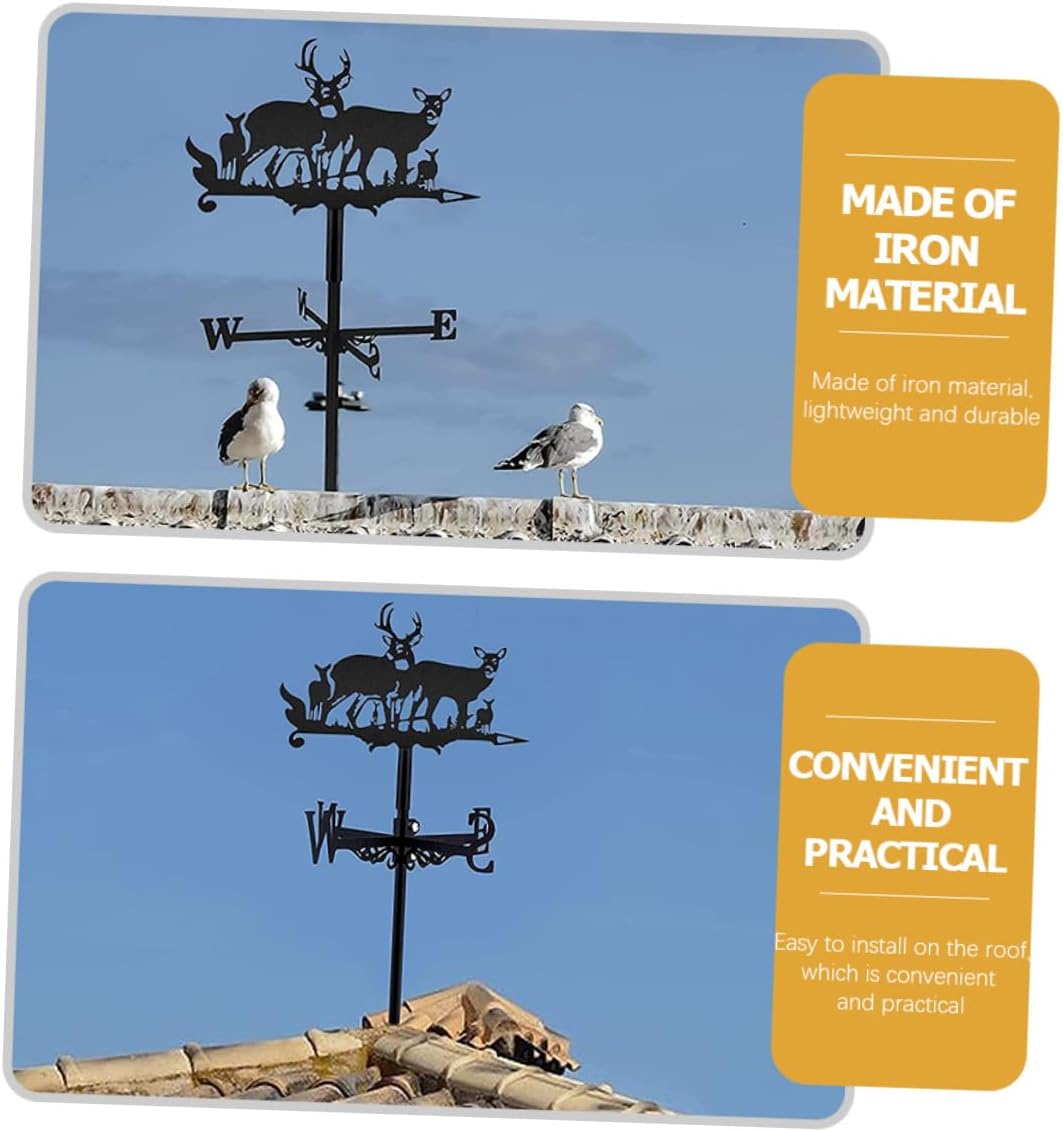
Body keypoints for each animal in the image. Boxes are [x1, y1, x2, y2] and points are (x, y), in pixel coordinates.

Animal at [243, 39, 351, 188]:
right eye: (315, 89)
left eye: (327, 91)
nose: (310, 102)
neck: (328, 124)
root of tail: (248, 120)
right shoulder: (309, 146)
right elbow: (314, 174)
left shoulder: (329, 149)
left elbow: (324, 175)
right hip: (262, 141)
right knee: (245, 160)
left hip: (282, 147)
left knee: (269, 169)